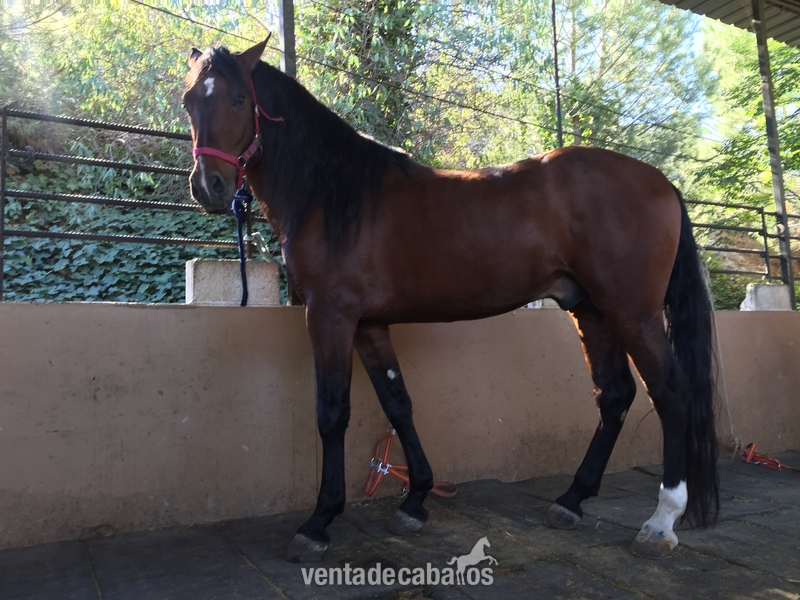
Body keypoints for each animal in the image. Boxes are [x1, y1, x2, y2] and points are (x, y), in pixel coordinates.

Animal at [182, 38, 719, 563]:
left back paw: (660, 522)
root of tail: (661, 181)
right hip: (591, 311)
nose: (209, 186)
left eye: (239, 99)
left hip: (633, 313)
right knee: (615, 395)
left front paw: (318, 522)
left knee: (670, 392)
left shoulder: (331, 316)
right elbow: (398, 404)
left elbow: (332, 412)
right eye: (189, 100)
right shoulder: (369, 325)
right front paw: (415, 500)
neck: (332, 193)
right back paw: (571, 500)